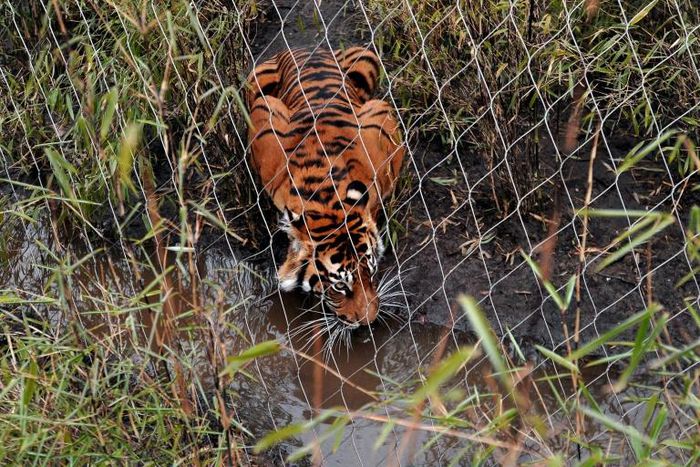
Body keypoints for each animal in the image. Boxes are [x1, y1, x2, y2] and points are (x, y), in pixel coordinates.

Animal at [246, 46, 405, 326]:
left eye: (371, 271)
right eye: (340, 286)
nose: (368, 321)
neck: (326, 197)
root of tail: (303, 49)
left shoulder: (381, 120)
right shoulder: (264, 119)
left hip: (366, 61)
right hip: (254, 84)